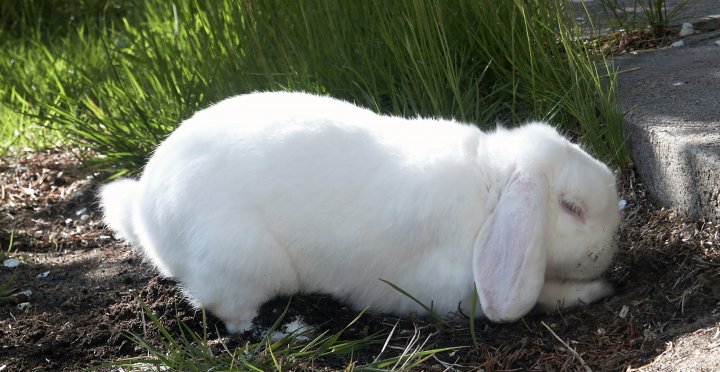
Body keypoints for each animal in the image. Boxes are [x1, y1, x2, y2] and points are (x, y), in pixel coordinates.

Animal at [98, 91, 620, 332]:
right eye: (572, 208)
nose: (608, 251)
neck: (490, 193)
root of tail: (145, 211)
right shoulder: (455, 291)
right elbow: (539, 296)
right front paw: (594, 290)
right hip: (239, 264)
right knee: (234, 316)